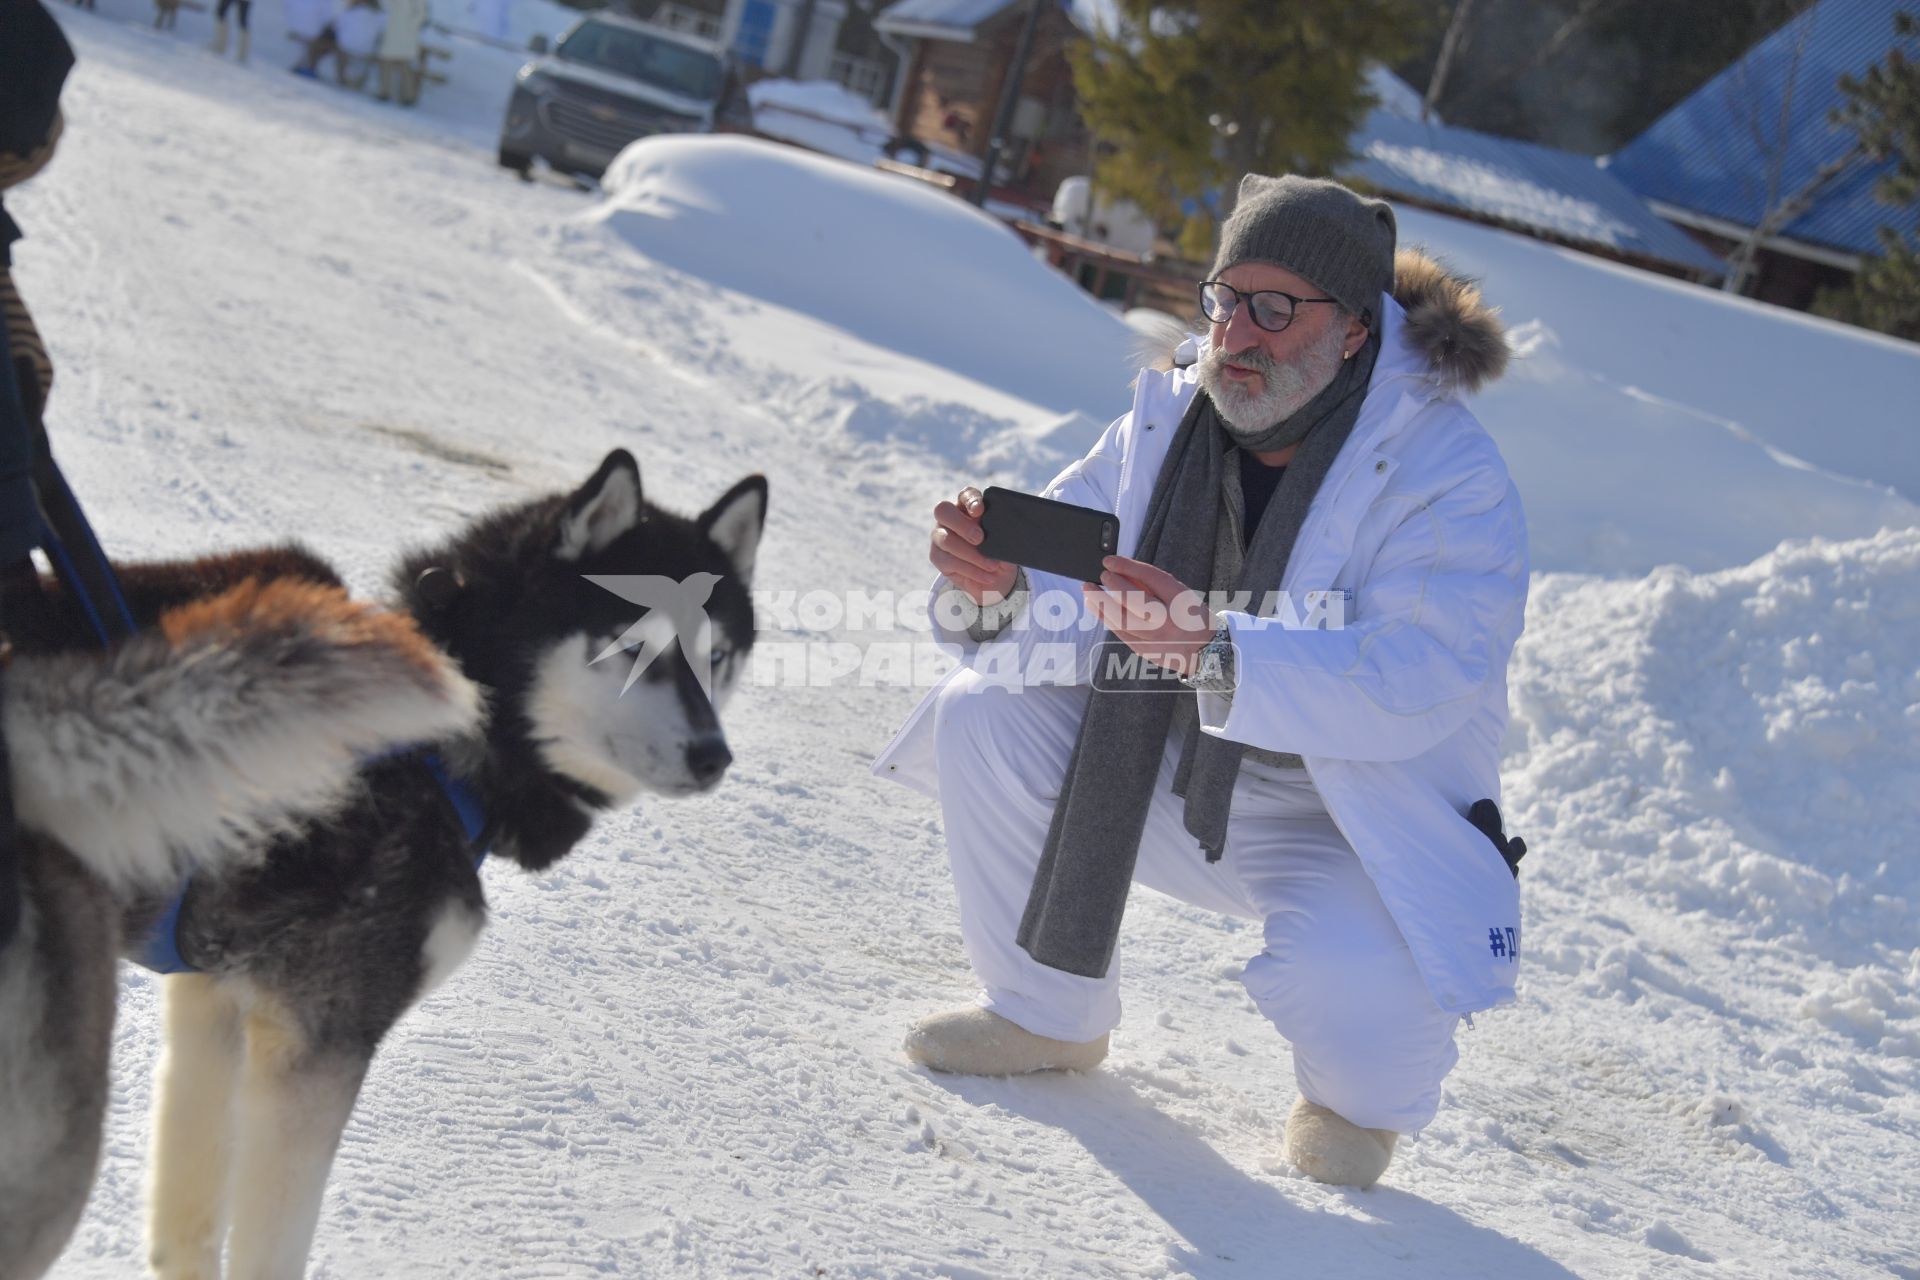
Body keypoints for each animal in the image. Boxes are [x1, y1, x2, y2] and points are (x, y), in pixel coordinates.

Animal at [123, 452, 768, 1280]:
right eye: (634, 646)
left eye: (715, 658)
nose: (713, 755)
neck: (441, 747)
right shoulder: (319, 1039)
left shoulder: (216, 1001)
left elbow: (190, 1223)